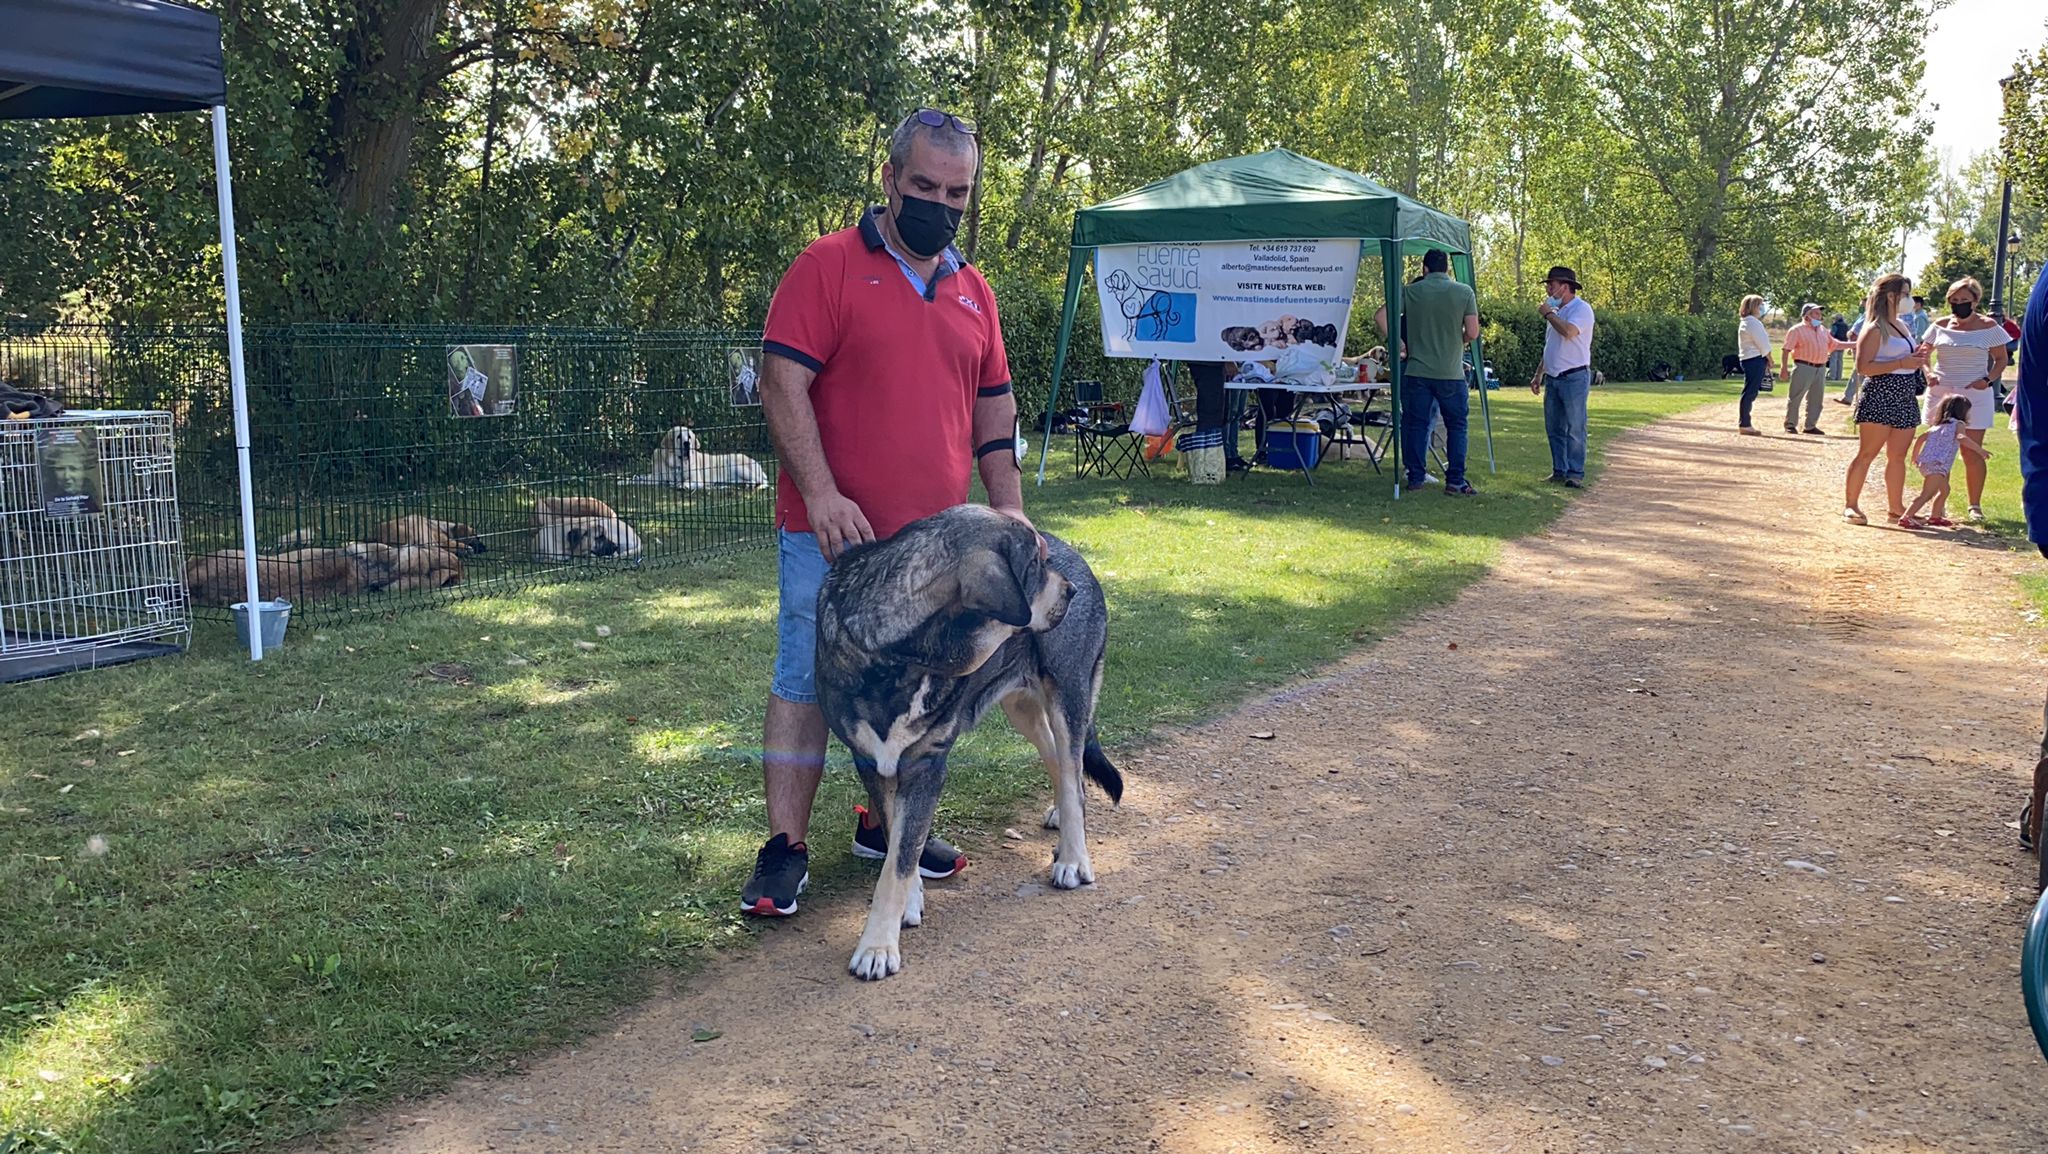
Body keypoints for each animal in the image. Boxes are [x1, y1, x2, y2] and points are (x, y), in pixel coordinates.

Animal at [811, 506, 1122, 983]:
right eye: (1034, 566)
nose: (1070, 591)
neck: (903, 656)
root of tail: (1077, 557)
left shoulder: (926, 767)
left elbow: (899, 862)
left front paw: (877, 946)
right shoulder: (873, 763)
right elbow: (899, 845)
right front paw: (909, 902)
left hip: (1067, 696)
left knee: (1072, 774)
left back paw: (1074, 856)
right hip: (1023, 708)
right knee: (1059, 761)